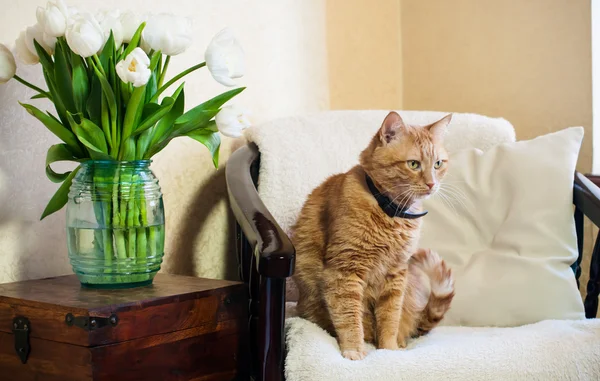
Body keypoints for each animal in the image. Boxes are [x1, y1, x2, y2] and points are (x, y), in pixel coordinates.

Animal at [292, 110, 454, 360]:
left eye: (438, 164)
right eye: (414, 164)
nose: (431, 184)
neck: (390, 212)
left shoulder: (396, 274)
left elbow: (390, 319)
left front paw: (388, 350)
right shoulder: (344, 271)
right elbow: (349, 317)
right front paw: (354, 350)